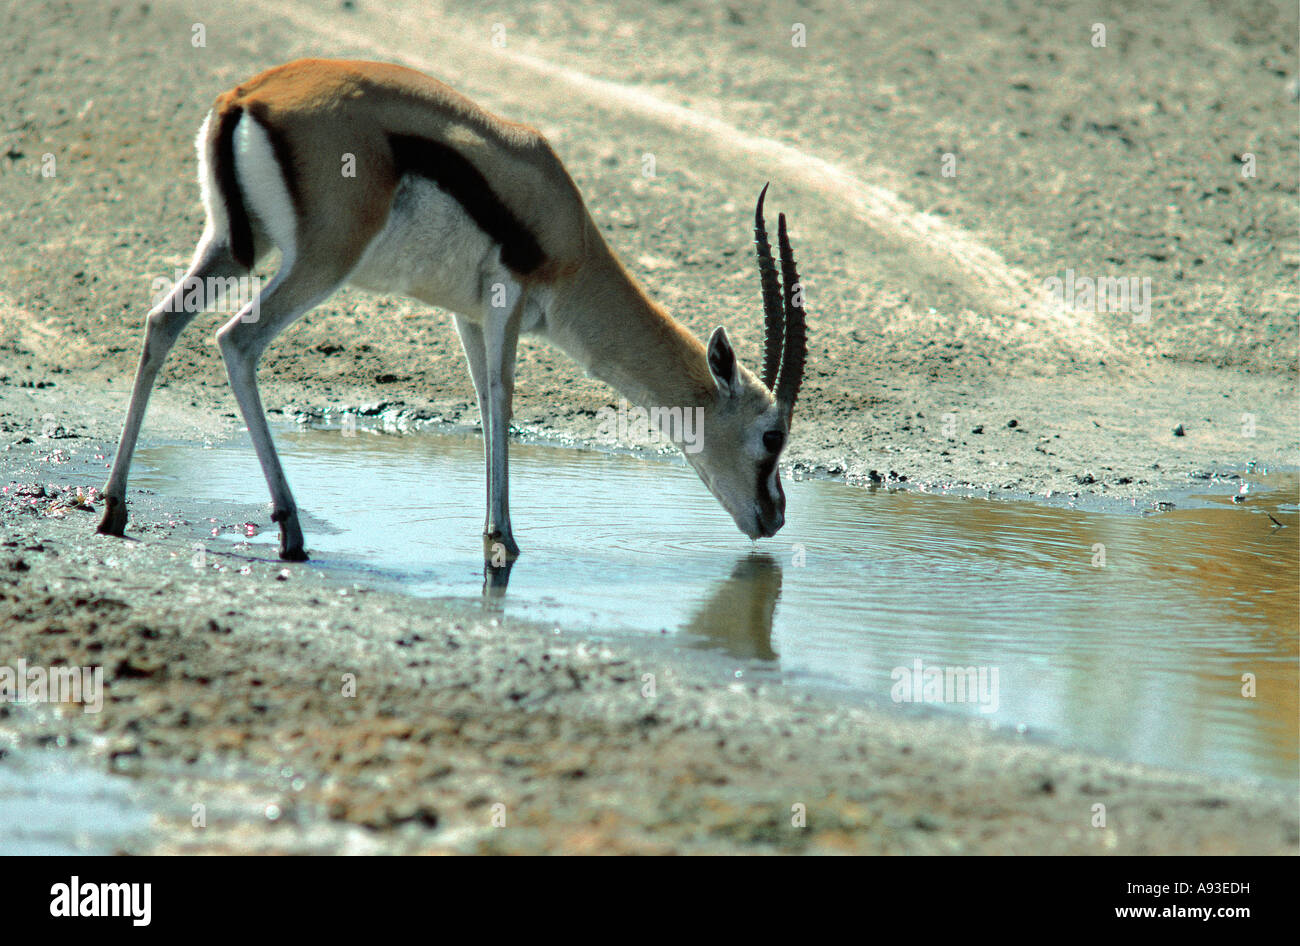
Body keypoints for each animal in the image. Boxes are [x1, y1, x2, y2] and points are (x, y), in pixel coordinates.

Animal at [97, 59, 808, 563]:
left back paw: (113, 510)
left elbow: (484, 403)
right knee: (237, 341)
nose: (774, 519)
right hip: (319, 262)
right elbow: (502, 396)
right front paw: (503, 542)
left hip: (233, 248)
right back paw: (291, 533)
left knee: (162, 322)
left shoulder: (466, 314)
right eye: (772, 436)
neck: (566, 226)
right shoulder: (507, 301)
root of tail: (247, 96)